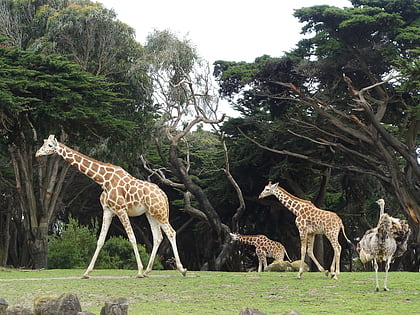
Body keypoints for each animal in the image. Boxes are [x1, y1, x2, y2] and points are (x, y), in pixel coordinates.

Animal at [35, 135, 186, 278]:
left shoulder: (120, 209)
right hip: (150, 213)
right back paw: (148, 270)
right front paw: (86, 272)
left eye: (49, 145)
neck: (103, 180)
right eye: (43, 143)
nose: (37, 153)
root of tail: (163, 194)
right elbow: (100, 240)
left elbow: (132, 238)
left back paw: (181, 269)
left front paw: (138, 271)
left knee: (171, 232)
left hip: (159, 211)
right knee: (158, 237)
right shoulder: (108, 211)